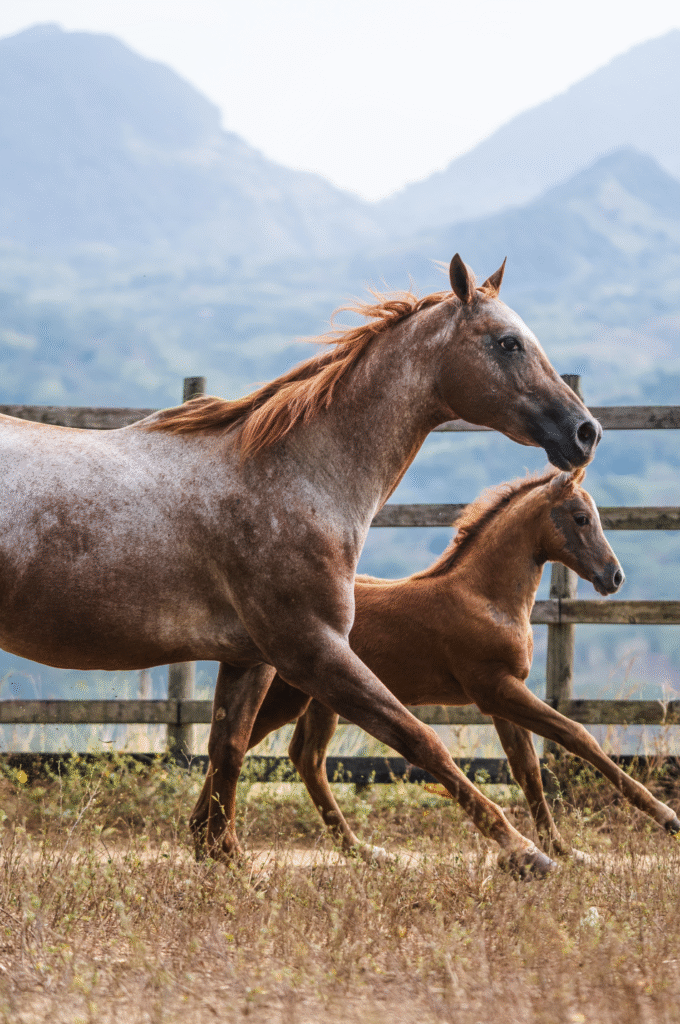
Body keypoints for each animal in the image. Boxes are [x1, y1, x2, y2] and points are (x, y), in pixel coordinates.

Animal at [0, 255, 601, 877]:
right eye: (508, 343)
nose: (585, 431)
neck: (293, 477)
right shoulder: (315, 647)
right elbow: (418, 739)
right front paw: (526, 851)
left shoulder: (253, 659)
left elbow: (227, 750)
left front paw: (224, 856)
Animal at [241, 468, 680, 862]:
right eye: (581, 517)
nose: (614, 577)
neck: (483, 597)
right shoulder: (494, 689)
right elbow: (576, 735)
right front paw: (667, 816)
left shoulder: (503, 695)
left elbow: (528, 770)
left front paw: (564, 850)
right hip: (289, 698)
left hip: (321, 701)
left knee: (307, 758)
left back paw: (363, 851)